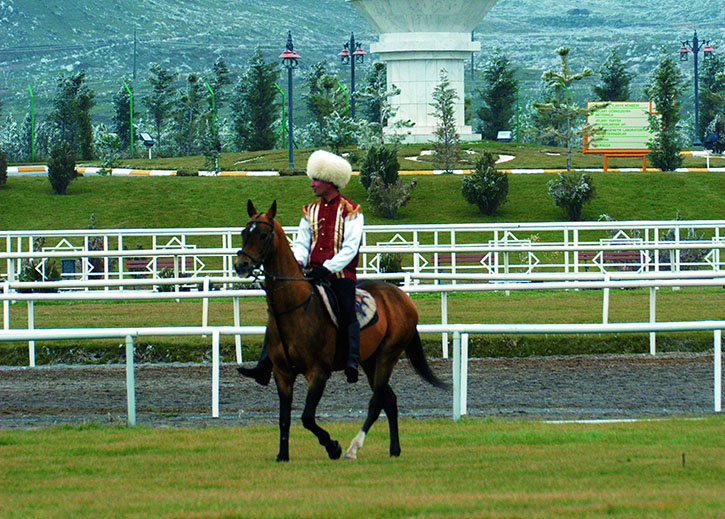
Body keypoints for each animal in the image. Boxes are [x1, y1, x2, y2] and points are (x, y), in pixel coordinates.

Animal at [234, 200, 447, 462]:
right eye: (244, 233)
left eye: (263, 235)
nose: (241, 265)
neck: (295, 307)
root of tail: (402, 298)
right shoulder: (282, 374)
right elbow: (284, 419)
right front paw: (283, 455)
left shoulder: (318, 372)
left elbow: (307, 417)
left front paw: (332, 446)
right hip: (369, 361)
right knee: (390, 400)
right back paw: (394, 449)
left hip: (387, 356)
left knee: (377, 402)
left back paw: (353, 447)